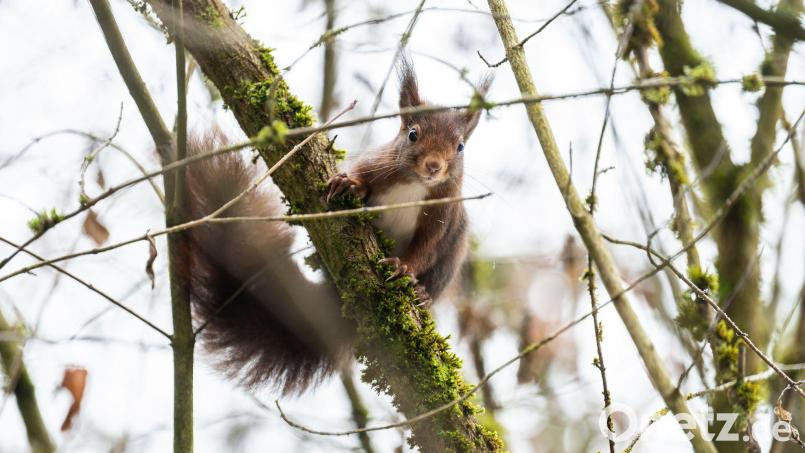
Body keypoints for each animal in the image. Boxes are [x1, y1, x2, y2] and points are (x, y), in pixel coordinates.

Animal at [180, 59, 489, 393]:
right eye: (412, 134)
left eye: (460, 146)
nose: (433, 166)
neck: (416, 185)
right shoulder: (377, 165)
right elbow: (362, 177)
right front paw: (348, 183)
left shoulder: (443, 216)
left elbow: (426, 248)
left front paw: (403, 268)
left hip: (452, 256)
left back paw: (422, 295)